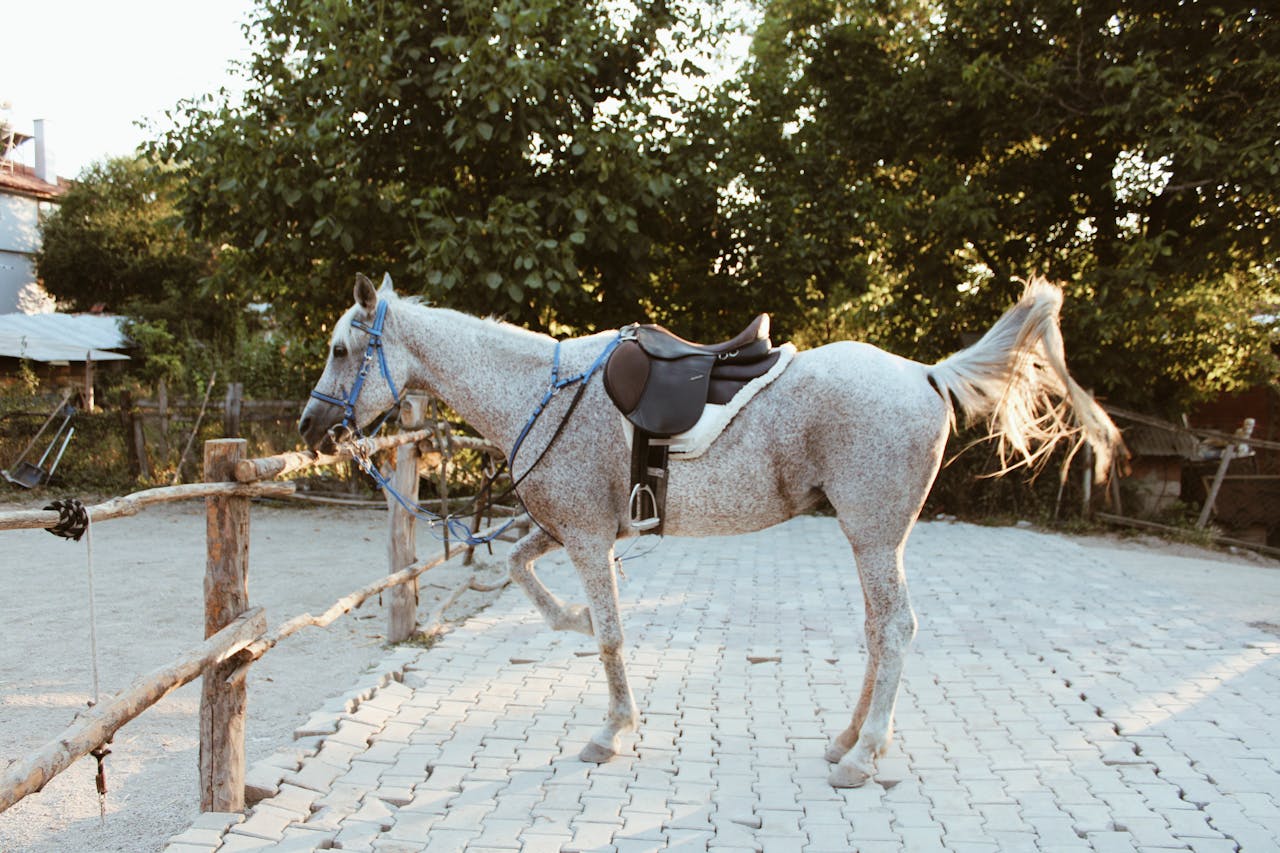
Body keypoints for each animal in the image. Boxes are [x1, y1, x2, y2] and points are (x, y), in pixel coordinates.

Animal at [298, 272, 1123, 788]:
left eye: (342, 350)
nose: (310, 428)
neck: (538, 389)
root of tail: (924, 372)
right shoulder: (570, 529)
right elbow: (525, 577)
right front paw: (571, 618)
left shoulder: (588, 538)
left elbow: (610, 636)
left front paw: (613, 729)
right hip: (870, 541)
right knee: (877, 629)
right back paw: (848, 738)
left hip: (874, 537)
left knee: (895, 629)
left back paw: (862, 755)